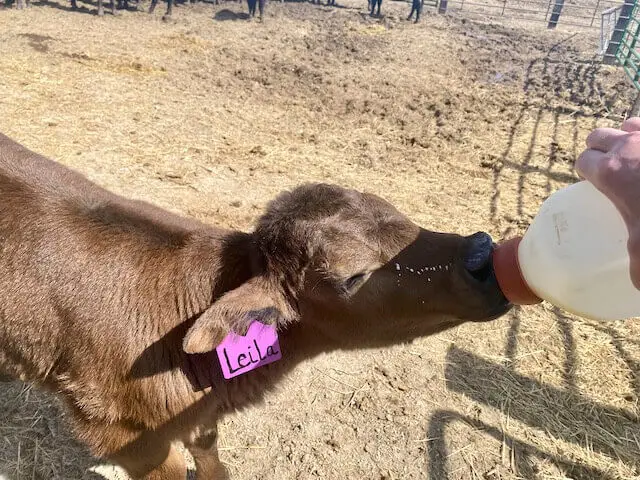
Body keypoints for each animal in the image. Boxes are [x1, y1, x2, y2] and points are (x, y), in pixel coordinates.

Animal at [0, 131, 510, 476]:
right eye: (353, 276)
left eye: (401, 216)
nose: (481, 254)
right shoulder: (123, 432)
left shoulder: (197, 415)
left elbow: (209, 450)